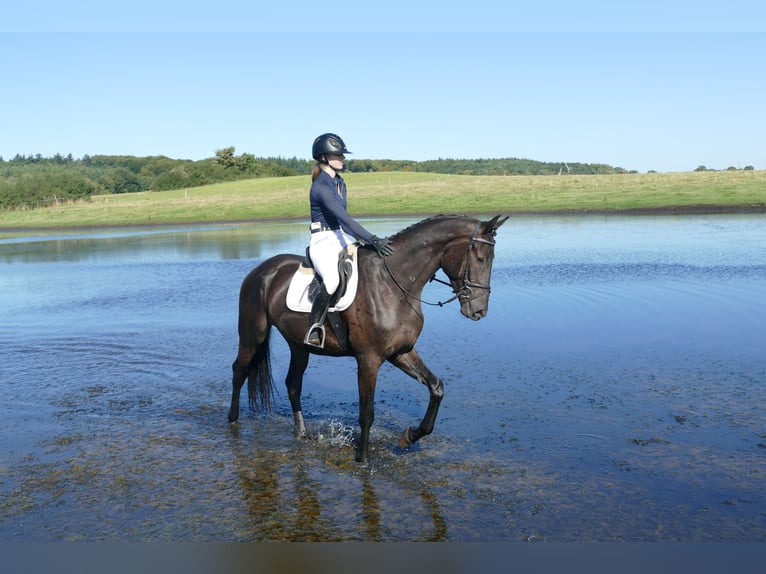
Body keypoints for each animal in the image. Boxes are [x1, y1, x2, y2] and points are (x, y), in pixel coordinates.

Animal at [228, 214, 508, 462]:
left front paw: (409, 436)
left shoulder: (401, 352)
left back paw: (301, 432)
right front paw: (362, 459)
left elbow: (436, 387)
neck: (393, 283)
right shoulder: (368, 359)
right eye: (480, 259)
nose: (478, 311)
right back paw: (232, 419)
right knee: (239, 371)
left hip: (299, 346)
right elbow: (366, 413)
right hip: (252, 336)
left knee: (293, 384)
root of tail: (261, 270)